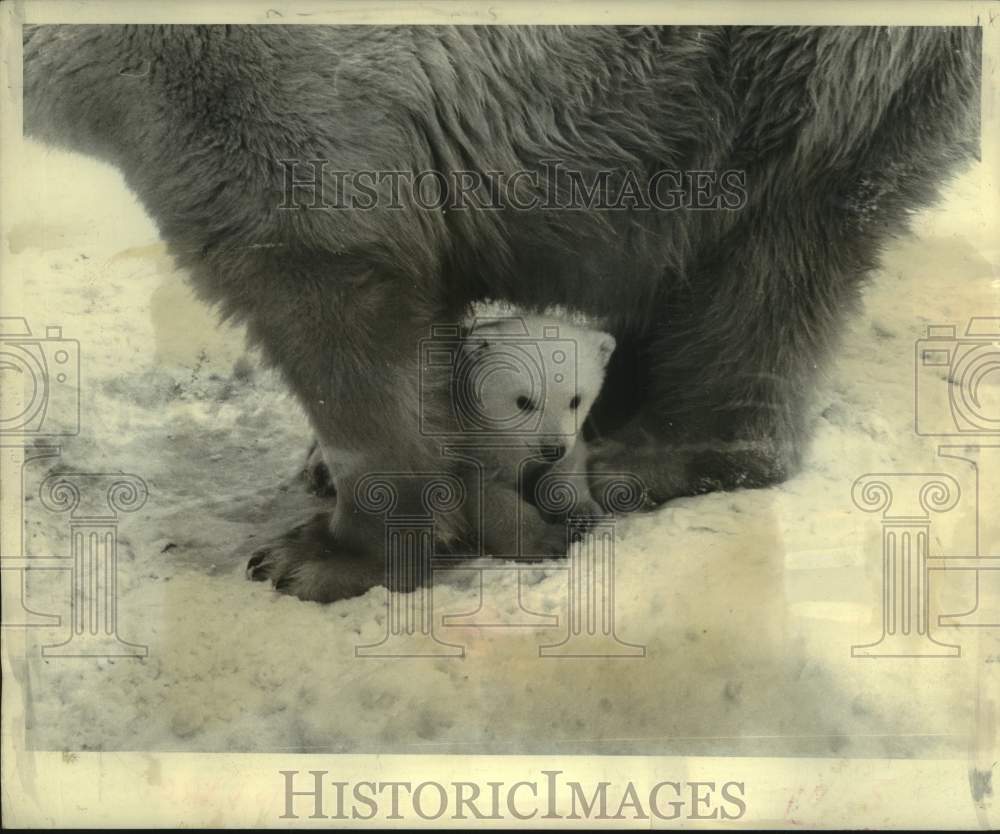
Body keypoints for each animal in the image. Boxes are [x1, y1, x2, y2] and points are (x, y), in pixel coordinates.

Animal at [21, 24, 976, 600]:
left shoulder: (271, 92)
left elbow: (332, 286)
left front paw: (315, 555)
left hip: (794, 81)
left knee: (766, 265)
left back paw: (644, 458)